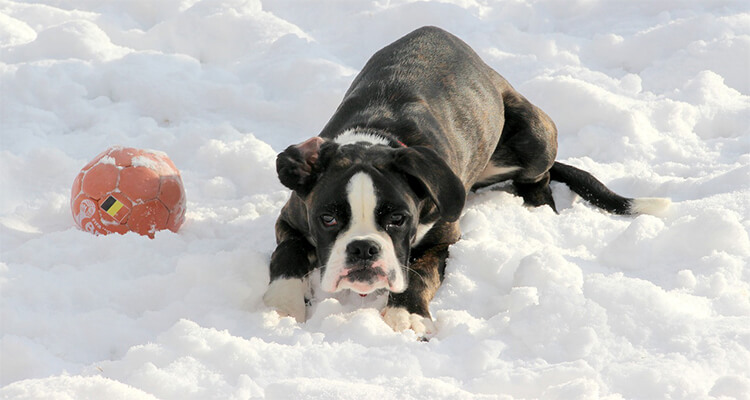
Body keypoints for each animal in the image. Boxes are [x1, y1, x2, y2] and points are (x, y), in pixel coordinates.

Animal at [262, 26, 668, 336]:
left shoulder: (443, 241)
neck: (375, 137)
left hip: (535, 133)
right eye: (328, 219)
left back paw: (534, 211)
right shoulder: (289, 221)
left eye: (398, 219)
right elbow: (287, 255)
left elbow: (419, 275)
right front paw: (282, 304)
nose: (363, 249)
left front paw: (405, 315)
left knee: (541, 178)